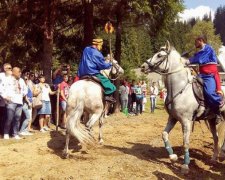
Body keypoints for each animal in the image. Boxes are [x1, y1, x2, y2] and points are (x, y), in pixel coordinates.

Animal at [141, 41, 225, 174]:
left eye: (159, 55)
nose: (143, 66)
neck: (180, 89)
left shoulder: (186, 121)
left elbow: (186, 143)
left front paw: (185, 165)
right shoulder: (173, 118)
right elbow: (164, 134)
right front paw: (173, 156)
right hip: (211, 120)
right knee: (216, 138)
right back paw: (213, 159)